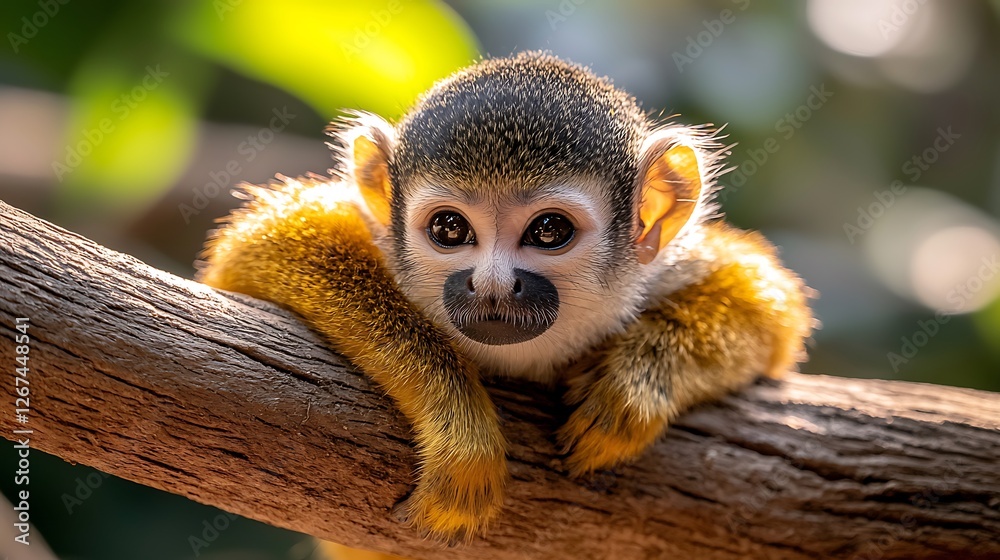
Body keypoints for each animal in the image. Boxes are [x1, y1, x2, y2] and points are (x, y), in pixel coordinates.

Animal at [196, 52, 814, 551]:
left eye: (548, 231)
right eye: (449, 228)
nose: (492, 286)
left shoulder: (658, 265)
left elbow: (774, 314)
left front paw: (633, 387)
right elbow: (255, 249)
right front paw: (457, 420)